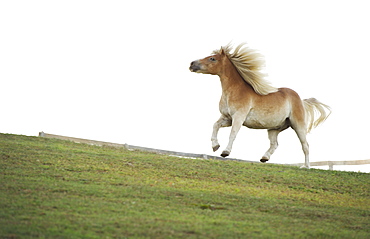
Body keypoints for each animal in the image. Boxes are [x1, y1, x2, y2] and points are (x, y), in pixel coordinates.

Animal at [189, 44, 330, 169]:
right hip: (274, 129)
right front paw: (215, 146)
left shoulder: (238, 117)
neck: (234, 91)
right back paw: (264, 158)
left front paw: (225, 152)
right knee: (274, 144)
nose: (192, 64)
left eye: (212, 58)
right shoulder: (227, 117)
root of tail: (301, 100)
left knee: (305, 145)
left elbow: (232, 134)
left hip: (298, 125)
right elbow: (215, 125)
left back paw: (306, 166)